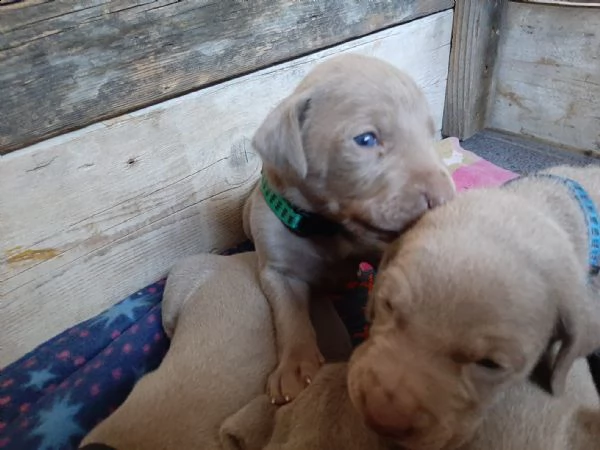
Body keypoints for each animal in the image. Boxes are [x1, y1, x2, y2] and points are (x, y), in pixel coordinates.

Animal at [241, 54, 452, 406]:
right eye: (366, 139)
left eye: (429, 133)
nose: (444, 199)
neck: (328, 226)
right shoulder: (278, 271)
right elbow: (290, 315)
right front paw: (295, 367)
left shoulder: (379, 249)